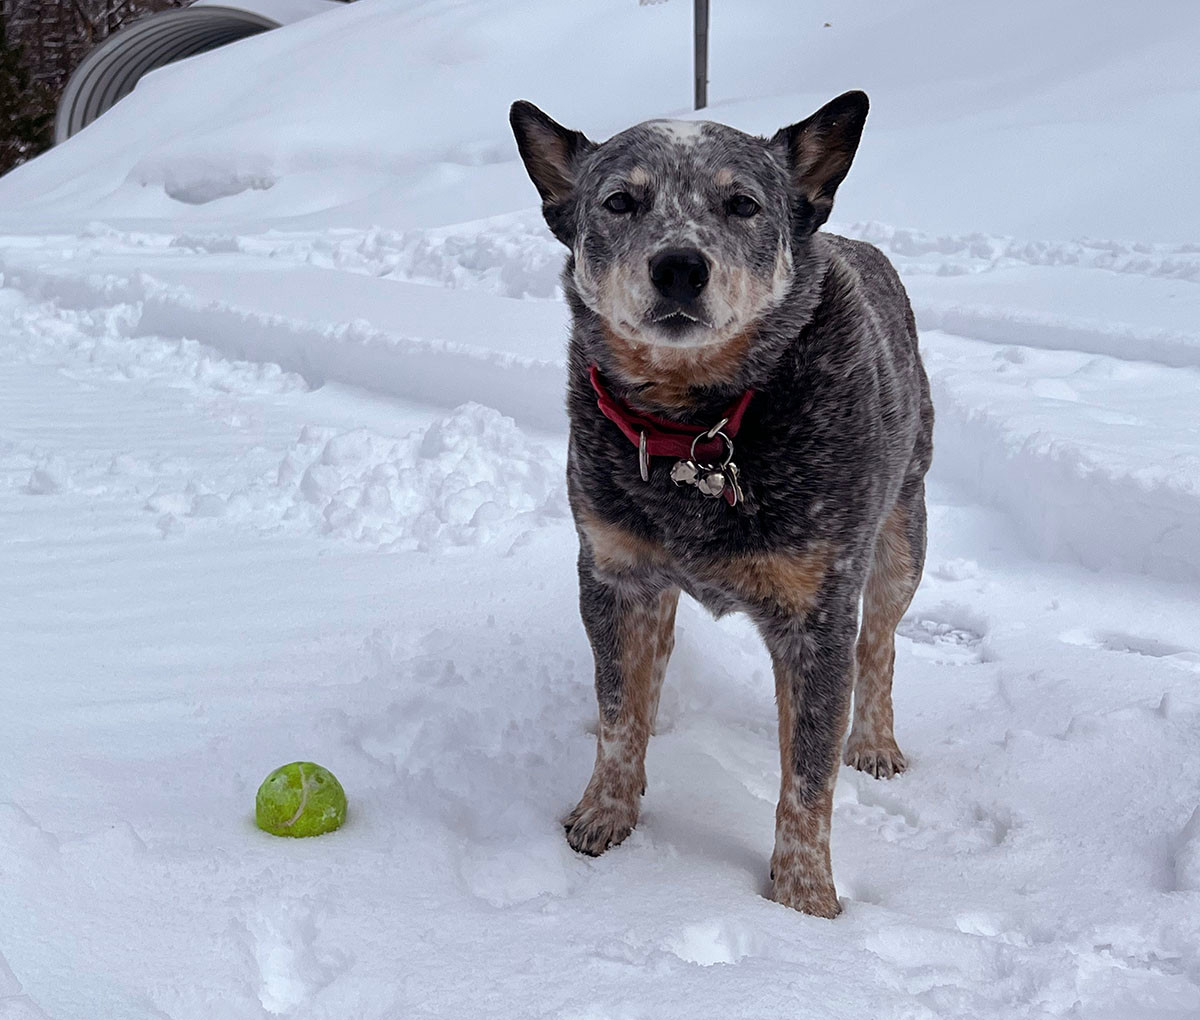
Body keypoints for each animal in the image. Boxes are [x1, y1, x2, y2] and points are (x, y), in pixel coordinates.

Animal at [511, 89, 931, 912]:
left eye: (742, 203)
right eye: (620, 201)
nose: (679, 265)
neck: (699, 427)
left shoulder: (817, 616)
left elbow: (808, 777)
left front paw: (804, 903)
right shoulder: (612, 575)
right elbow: (618, 713)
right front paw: (604, 814)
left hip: (904, 530)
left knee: (881, 644)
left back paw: (874, 742)